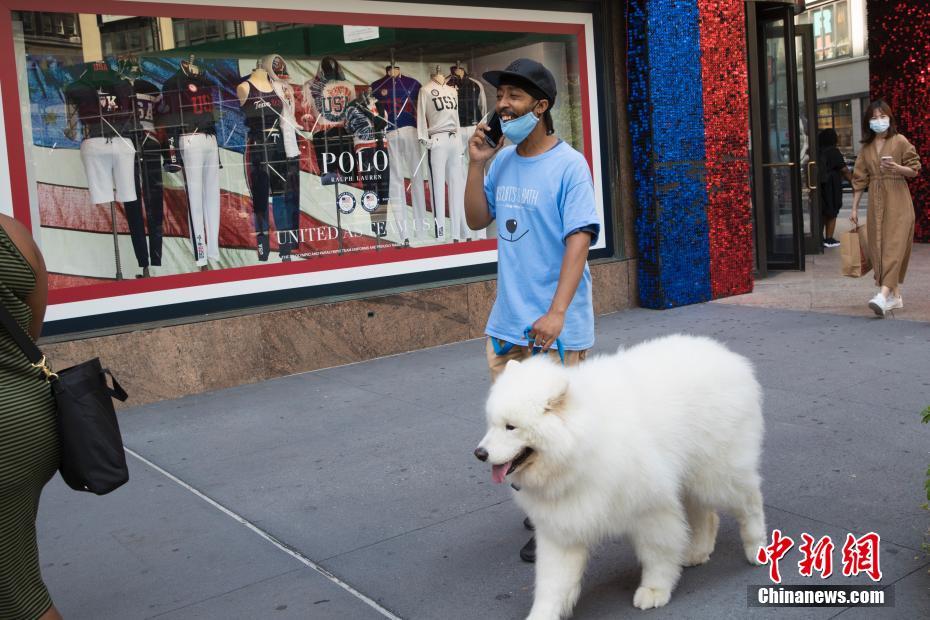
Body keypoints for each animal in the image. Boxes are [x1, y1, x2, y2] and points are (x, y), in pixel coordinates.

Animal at [474, 336, 764, 616]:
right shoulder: (563, 523)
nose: (479, 453)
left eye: (511, 427)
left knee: (749, 503)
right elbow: (552, 583)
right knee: (706, 514)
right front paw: (542, 614)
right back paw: (697, 552)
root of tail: (730, 357)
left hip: (717, 474)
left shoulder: (651, 507)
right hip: (692, 476)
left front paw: (654, 590)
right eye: (492, 424)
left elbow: (658, 554)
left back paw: (756, 549)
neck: (581, 447)